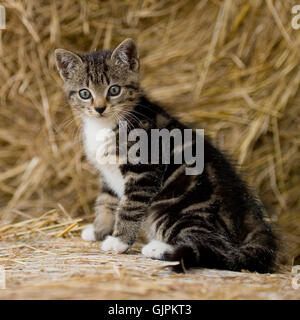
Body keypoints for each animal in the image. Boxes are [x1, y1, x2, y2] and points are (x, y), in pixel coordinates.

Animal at [54, 38, 278, 272]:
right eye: (85, 93)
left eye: (114, 90)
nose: (99, 108)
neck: (106, 125)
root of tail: (249, 214)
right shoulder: (108, 175)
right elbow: (106, 202)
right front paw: (99, 230)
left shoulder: (143, 171)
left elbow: (129, 207)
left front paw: (119, 242)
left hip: (177, 208)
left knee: (214, 245)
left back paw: (162, 250)